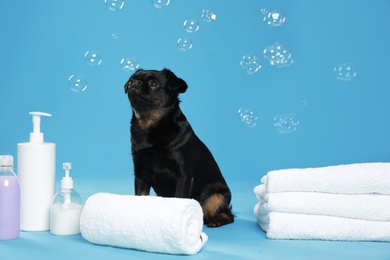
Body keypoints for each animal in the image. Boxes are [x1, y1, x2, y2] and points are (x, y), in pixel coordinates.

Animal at [124, 68, 235, 226]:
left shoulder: (184, 175)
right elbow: (140, 197)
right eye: (131, 80)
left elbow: (180, 197)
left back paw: (217, 220)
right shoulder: (141, 175)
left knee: (227, 214)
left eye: (153, 84)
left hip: (216, 197)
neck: (149, 126)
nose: (135, 82)